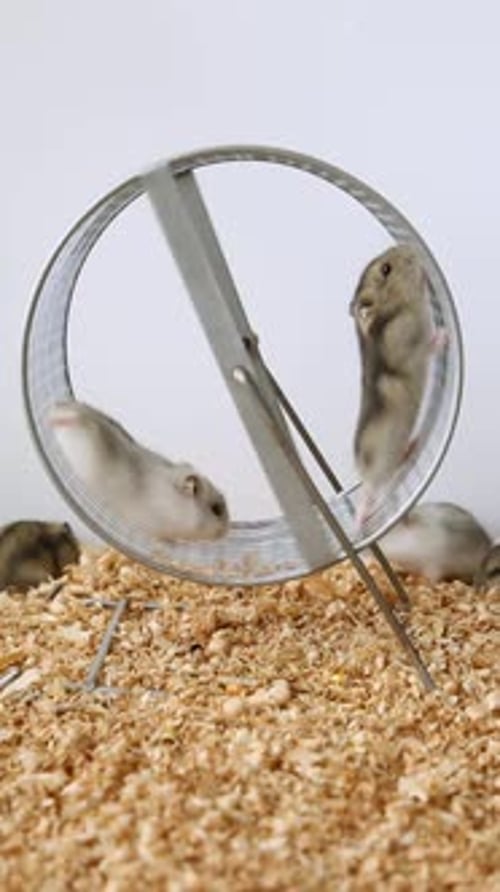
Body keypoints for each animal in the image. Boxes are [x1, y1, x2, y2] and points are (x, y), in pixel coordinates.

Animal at [350, 245, 435, 524]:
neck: (402, 306)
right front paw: (444, 336)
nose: (413, 247)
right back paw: (362, 518)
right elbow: (426, 347)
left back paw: (412, 446)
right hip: (382, 459)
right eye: (386, 269)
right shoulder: (407, 345)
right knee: (372, 489)